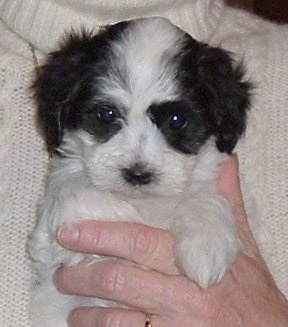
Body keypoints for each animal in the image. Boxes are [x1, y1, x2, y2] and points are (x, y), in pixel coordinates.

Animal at [28, 17, 251, 327]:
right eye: (107, 114)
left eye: (176, 120)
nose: (137, 174)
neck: (144, 201)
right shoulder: (51, 238)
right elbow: (71, 193)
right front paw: (127, 218)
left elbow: (205, 197)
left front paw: (208, 245)